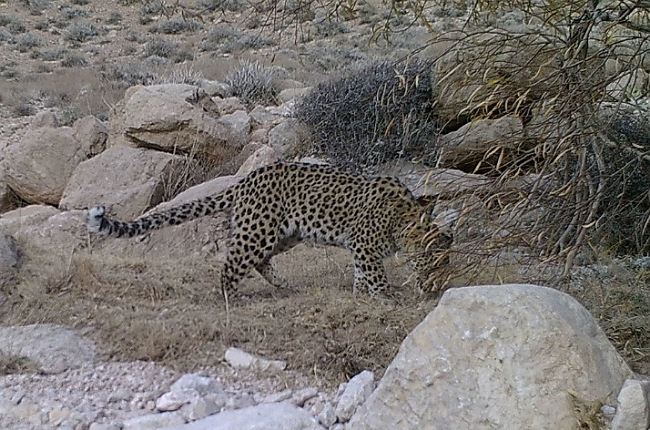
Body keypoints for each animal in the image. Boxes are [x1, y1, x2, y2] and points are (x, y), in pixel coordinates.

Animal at [86, 161, 456, 299]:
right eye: (435, 261)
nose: (438, 286)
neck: (402, 219)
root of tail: (246, 179)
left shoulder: (359, 249)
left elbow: (361, 274)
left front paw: (361, 294)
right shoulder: (364, 244)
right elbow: (375, 274)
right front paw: (387, 296)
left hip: (284, 234)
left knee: (260, 261)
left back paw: (284, 285)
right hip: (259, 231)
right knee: (232, 263)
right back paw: (231, 298)